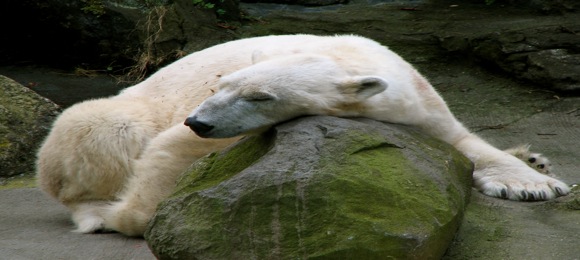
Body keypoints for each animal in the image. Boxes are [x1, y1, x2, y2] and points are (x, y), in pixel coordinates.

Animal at [37, 35, 572, 238]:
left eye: (261, 95)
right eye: (220, 84)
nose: (199, 120)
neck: (349, 59)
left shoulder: (417, 101)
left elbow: (462, 140)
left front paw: (533, 181)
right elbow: (170, 152)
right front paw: (128, 218)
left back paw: (534, 156)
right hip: (125, 109)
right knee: (95, 130)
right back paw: (96, 211)